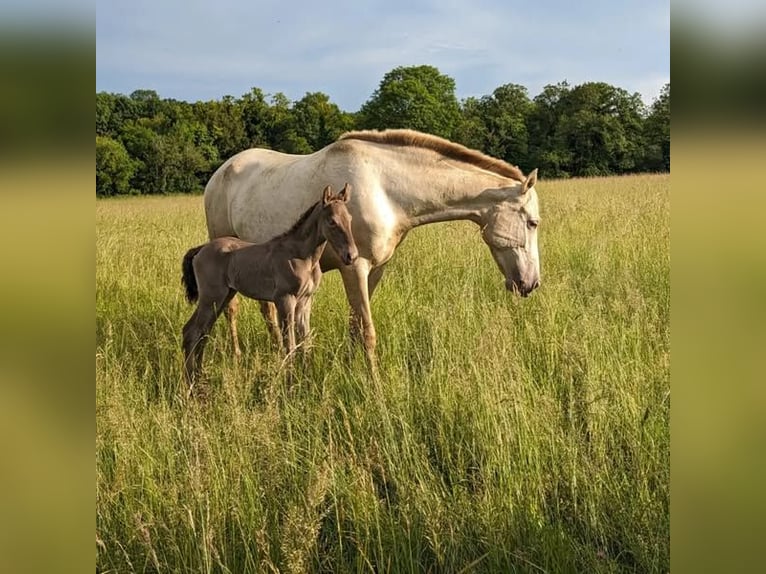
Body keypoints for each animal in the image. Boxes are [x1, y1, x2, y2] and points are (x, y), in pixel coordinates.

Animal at [182, 183, 358, 382]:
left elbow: (305, 342)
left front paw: (306, 378)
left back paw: (199, 375)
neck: (302, 255)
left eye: (349, 218)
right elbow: (290, 345)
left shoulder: (305, 301)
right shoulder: (285, 299)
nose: (351, 256)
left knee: (203, 332)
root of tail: (201, 249)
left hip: (223, 296)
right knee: (192, 331)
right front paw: (290, 382)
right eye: (332, 221)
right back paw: (190, 381)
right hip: (211, 296)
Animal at [204, 129, 540, 372]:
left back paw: (277, 351)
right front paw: (374, 387)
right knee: (231, 309)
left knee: (267, 311)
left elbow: (356, 326)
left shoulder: (376, 268)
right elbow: (367, 332)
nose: (531, 283)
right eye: (533, 222)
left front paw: (352, 370)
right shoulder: (354, 266)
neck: (384, 188)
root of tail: (220, 172)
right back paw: (237, 355)